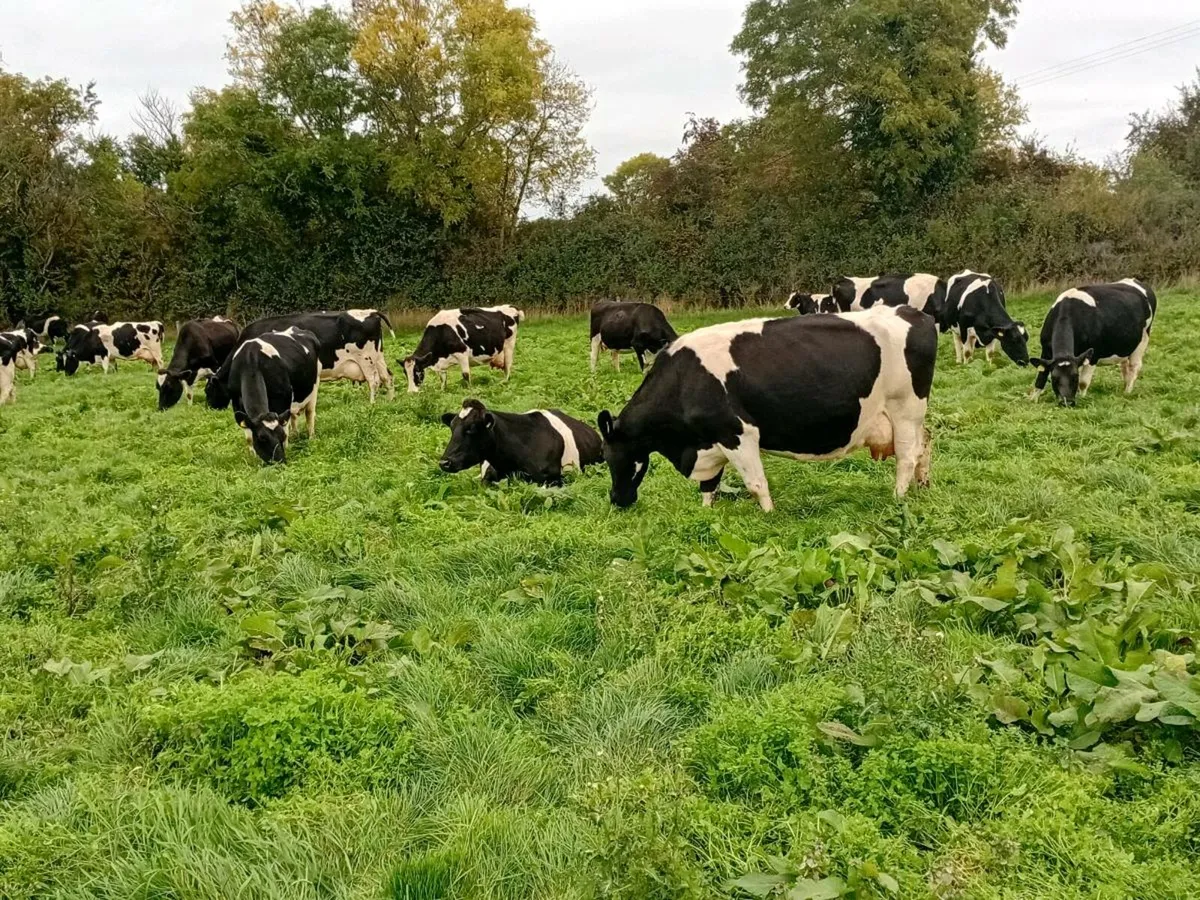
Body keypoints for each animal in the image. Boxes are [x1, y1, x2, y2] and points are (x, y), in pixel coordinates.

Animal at [206, 310, 394, 407]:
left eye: (208, 390)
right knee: (388, 377)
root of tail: (370, 311)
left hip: (366, 359)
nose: (210, 407)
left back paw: (371, 403)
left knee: (374, 381)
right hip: (378, 357)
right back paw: (390, 400)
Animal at [225, 328, 322, 464]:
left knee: (309, 414)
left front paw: (287, 447)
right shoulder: (236, 403)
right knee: (293, 416)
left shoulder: (282, 399)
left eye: (281, 436)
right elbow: (249, 437)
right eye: (262, 438)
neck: (251, 361)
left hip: (315, 385)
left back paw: (311, 437)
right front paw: (252, 457)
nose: (280, 462)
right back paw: (295, 434)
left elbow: (285, 427)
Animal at [596, 304, 936, 512]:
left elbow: (756, 483)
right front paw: (706, 513)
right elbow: (709, 485)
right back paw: (923, 487)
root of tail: (913, 313)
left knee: (907, 457)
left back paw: (897, 498)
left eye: (612, 458)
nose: (616, 499)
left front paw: (769, 515)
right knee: (925, 445)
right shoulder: (710, 440)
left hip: (904, 410)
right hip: (913, 418)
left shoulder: (737, 432)